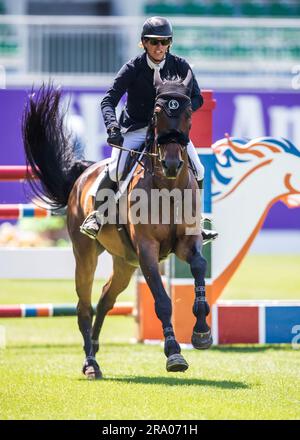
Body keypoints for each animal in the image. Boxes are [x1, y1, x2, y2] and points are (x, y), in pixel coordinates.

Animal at [22, 71, 211, 378]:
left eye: (188, 114)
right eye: (156, 112)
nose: (171, 164)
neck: (168, 186)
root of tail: (83, 173)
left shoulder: (187, 242)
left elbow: (198, 267)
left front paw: (202, 332)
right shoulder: (147, 250)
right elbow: (162, 300)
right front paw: (174, 352)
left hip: (125, 262)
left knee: (104, 300)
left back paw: (95, 347)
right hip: (86, 254)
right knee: (84, 306)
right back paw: (90, 363)